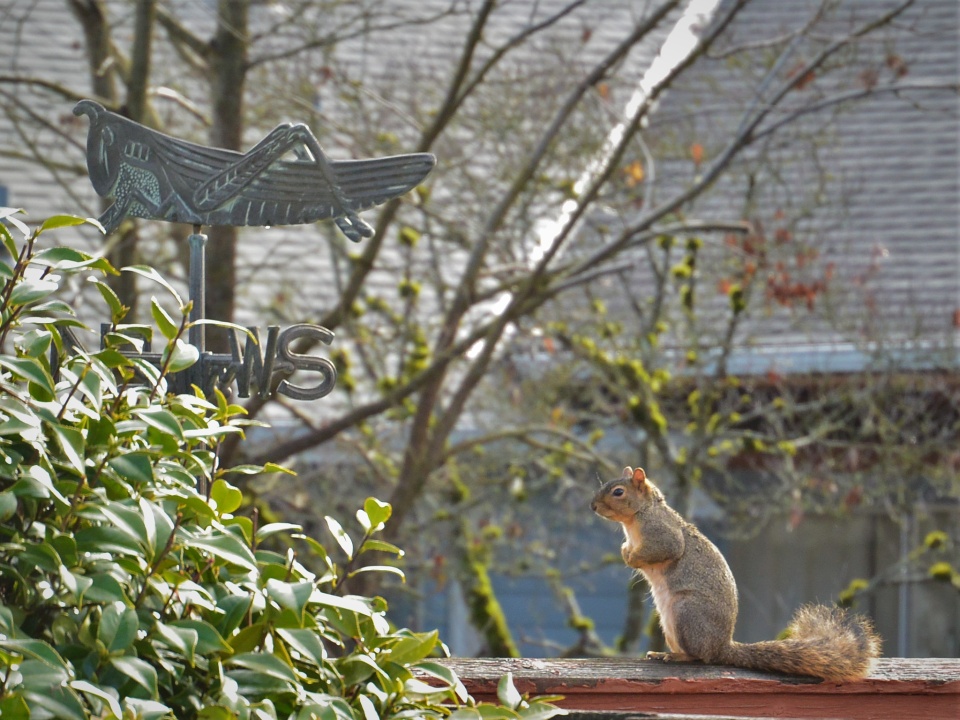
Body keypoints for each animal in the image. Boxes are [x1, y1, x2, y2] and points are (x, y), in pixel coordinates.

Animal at [591, 466, 881, 681]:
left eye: (618, 492)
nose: (593, 506)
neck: (637, 517)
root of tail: (723, 646)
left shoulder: (662, 533)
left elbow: (667, 549)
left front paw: (631, 557)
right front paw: (626, 551)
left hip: (687, 612)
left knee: (701, 657)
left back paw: (676, 656)